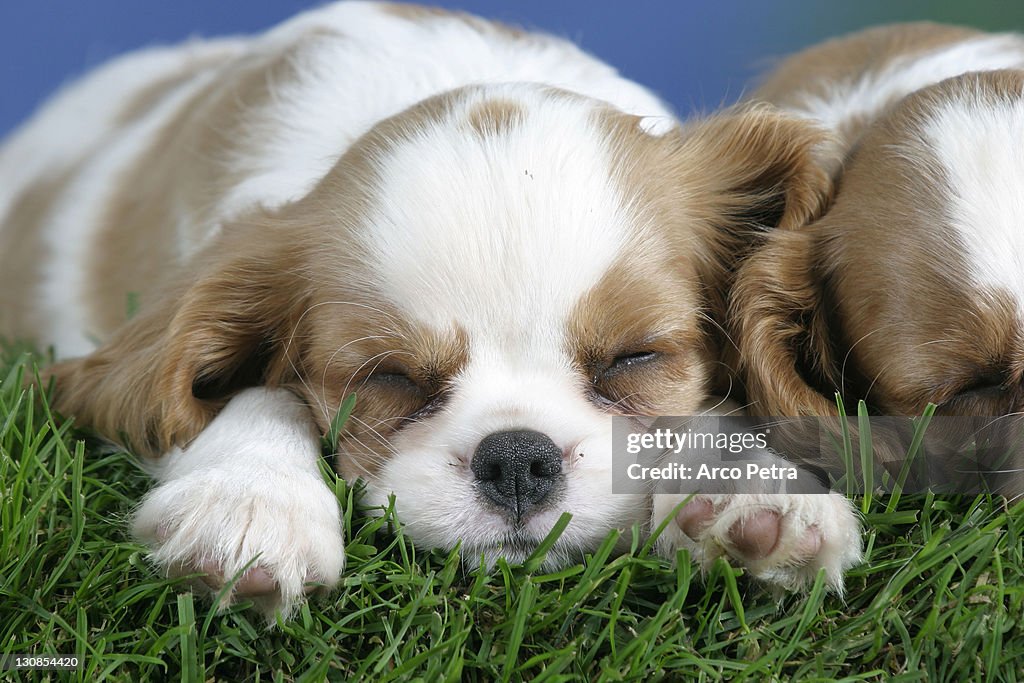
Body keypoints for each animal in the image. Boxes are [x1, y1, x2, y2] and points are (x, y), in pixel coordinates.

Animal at [0, 1, 843, 618]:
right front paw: (248, 497)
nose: (518, 458)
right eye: (392, 377)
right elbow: (263, 390)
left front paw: (754, 485)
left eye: (634, 358)